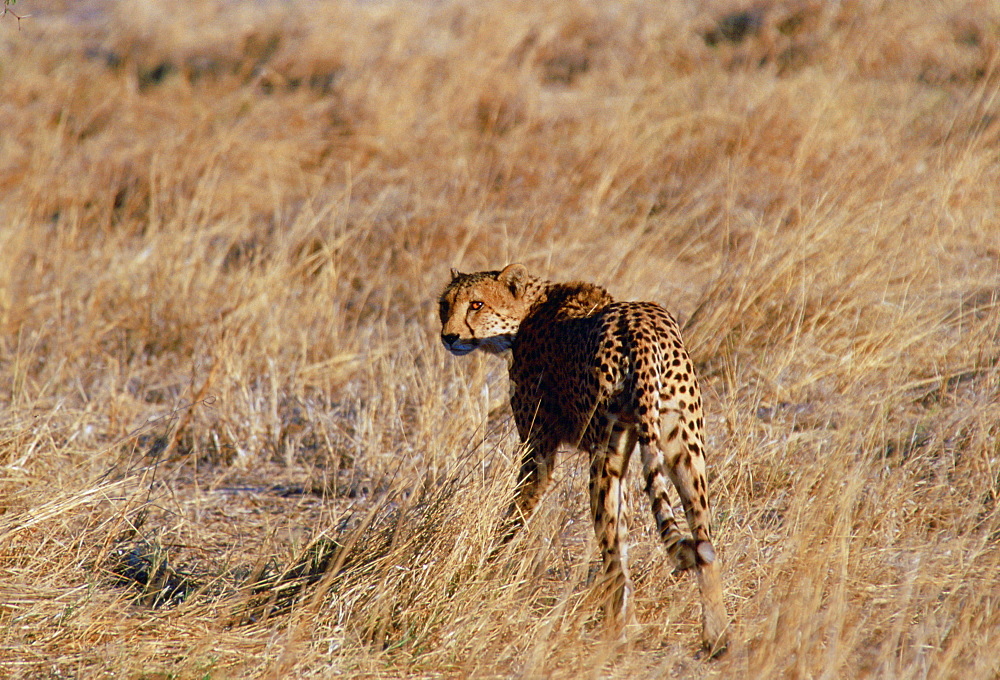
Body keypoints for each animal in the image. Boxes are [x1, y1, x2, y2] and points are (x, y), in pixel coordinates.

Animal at [442, 262, 732, 652]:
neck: (531, 309)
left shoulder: (538, 449)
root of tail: (640, 323)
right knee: (703, 544)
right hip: (683, 449)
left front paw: (487, 565)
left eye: (476, 304)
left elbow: (516, 513)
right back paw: (716, 636)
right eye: (445, 305)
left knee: (613, 557)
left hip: (604, 458)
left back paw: (617, 634)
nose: (448, 336)